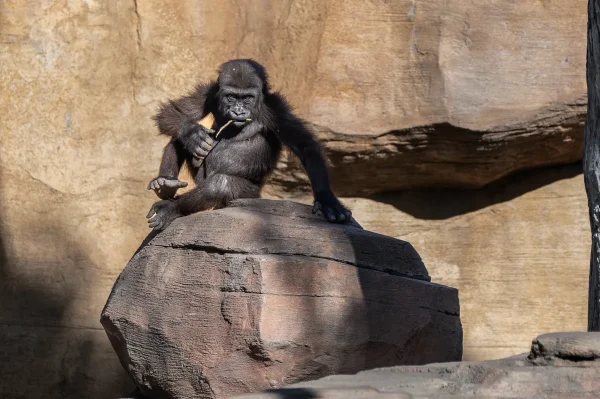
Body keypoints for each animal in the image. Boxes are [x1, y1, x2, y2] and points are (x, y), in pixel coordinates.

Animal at [146, 57, 352, 230]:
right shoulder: (208, 93)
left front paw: (327, 200)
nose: (238, 111)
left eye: (247, 98)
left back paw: (172, 208)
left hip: (250, 194)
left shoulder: (275, 108)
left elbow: (305, 146)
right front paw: (193, 134)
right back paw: (165, 183)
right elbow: (173, 113)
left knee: (220, 185)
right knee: (178, 138)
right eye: (231, 97)